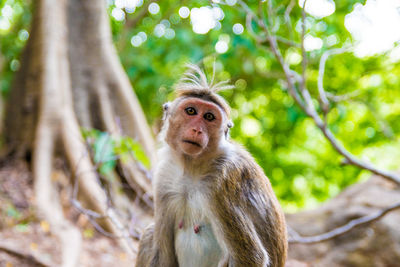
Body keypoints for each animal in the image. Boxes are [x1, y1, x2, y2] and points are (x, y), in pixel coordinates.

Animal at [136, 65, 286, 267]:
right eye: (191, 111)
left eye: (208, 116)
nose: (197, 130)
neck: (193, 168)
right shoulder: (164, 178)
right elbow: (162, 255)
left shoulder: (222, 182)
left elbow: (251, 257)